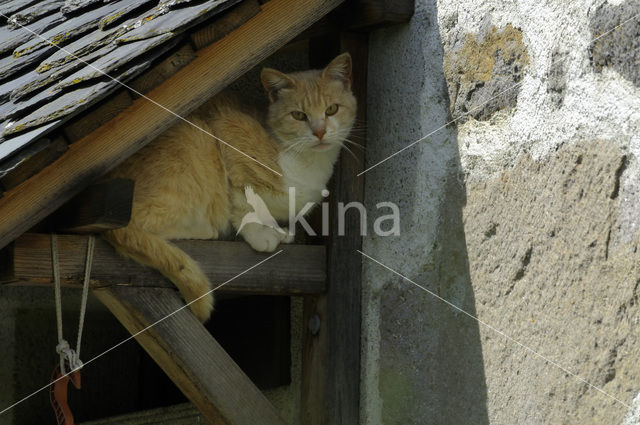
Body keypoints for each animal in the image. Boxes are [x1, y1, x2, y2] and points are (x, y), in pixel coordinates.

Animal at [102, 52, 358, 322]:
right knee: (141, 224)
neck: (307, 165)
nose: (319, 132)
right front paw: (261, 233)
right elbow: (244, 201)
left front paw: (279, 230)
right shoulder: (229, 135)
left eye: (331, 109)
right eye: (299, 115)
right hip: (197, 139)